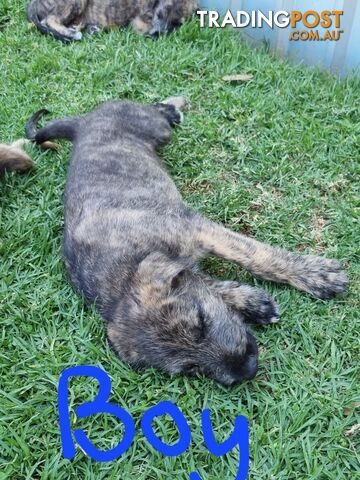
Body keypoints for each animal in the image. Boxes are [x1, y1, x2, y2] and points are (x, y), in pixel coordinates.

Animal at [26, 98, 348, 386]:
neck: (122, 275)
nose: (247, 370)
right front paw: (254, 303)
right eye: (191, 368)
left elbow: (255, 255)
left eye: (200, 321)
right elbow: (206, 281)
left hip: (152, 127)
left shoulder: (196, 229)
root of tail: (83, 122)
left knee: (157, 111)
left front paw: (317, 275)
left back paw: (173, 108)